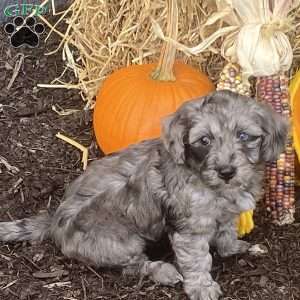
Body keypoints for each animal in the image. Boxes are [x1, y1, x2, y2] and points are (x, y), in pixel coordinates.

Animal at [1, 90, 290, 298]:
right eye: (204, 140)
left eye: (244, 135)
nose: (226, 171)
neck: (207, 181)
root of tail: (54, 221)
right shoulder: (189, 230)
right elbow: (197, 260)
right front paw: (202, 287)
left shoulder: (225, 214)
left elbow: (226, 231)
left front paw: (234, 247)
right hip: (122, 242)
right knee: (132, 266)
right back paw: (163, 271)